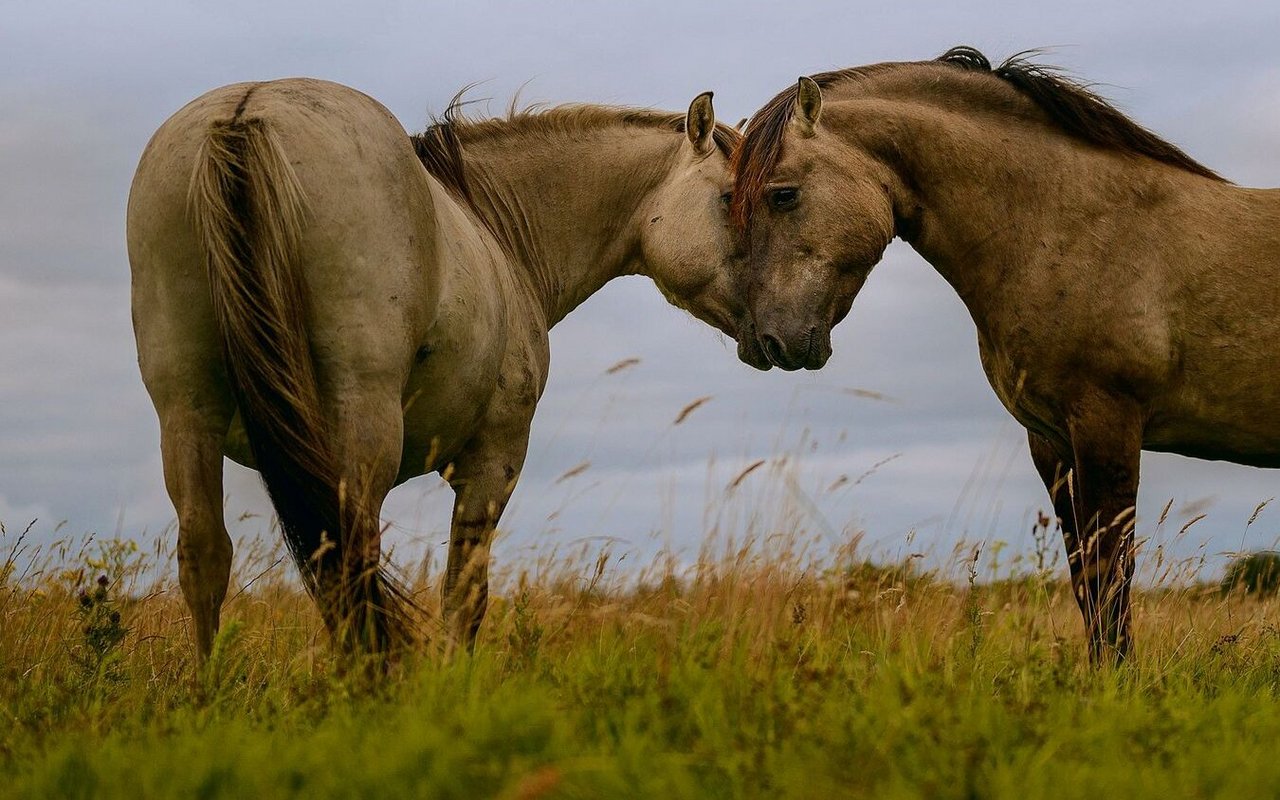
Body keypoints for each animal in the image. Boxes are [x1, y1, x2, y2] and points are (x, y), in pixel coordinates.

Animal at [126, 76, 747, 660]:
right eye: (729, 198)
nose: (773, 333)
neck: (498, 233)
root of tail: (244, 114)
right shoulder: (492, 460)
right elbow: (465, 595)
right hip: (361, 415)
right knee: (351, 560)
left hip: (187, 410)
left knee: (208, 555)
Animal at [732, 46, 1280, 665]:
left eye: (782, 194)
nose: (766, 341)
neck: (1076, 228)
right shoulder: (1051, 442)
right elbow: (1085, 580)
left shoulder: (1107, 427)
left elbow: (1112, 576)